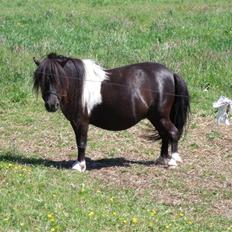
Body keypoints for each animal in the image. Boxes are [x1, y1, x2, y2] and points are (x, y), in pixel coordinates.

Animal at [32, 53, 189, 171]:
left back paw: (173, 160)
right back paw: (163, 159)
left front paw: (80, 165)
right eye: (41, 79)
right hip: (155, 117)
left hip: (161, 116)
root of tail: (171, 73)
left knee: (173, 132)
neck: (79, 86)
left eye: (59, 77)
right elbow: (78, 141)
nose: (51, 105)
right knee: (164, 134)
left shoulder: (82, 121)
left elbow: (82, 141)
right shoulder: (75, 122)